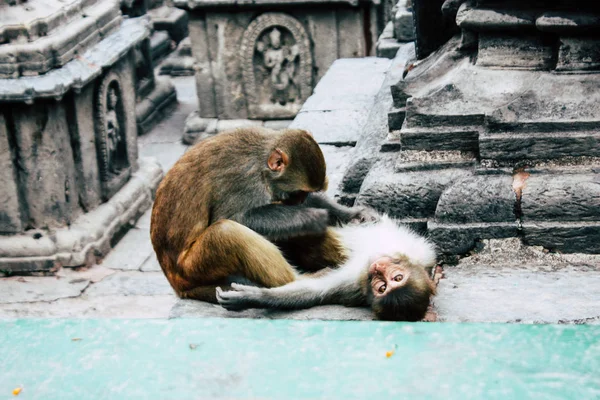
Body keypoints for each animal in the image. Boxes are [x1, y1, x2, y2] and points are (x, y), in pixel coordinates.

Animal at [150, 128, 370, 304]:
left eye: (304, 194)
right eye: (298, 193)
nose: (299, 202)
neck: (262, 160)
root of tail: (178, 287)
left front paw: (350, 214)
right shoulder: (244, 179)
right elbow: (233, 217)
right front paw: (312, 217)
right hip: (192, 270)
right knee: (226, 231)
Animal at [216, 216, 436, 322]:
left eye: (382, 287)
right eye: (396, 278)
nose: (378, 269)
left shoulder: (355, 282)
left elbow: (314, 291)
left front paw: (250, 297)